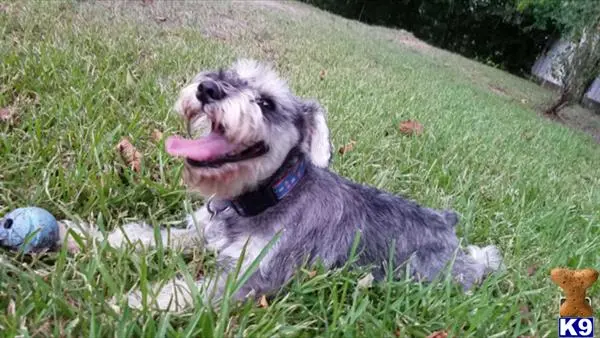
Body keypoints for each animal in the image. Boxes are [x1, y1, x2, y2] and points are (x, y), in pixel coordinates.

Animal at [68, 58, 504, 312]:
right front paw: (79, 237)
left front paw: (127, 302)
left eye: (266, 104)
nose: (207, 88)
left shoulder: (251, 276)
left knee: (483, 262)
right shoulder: (201, 231)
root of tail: (446, 221)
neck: (267, 197)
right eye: (229, 75)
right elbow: (141, 235)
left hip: (435, 273)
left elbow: (184, 291)